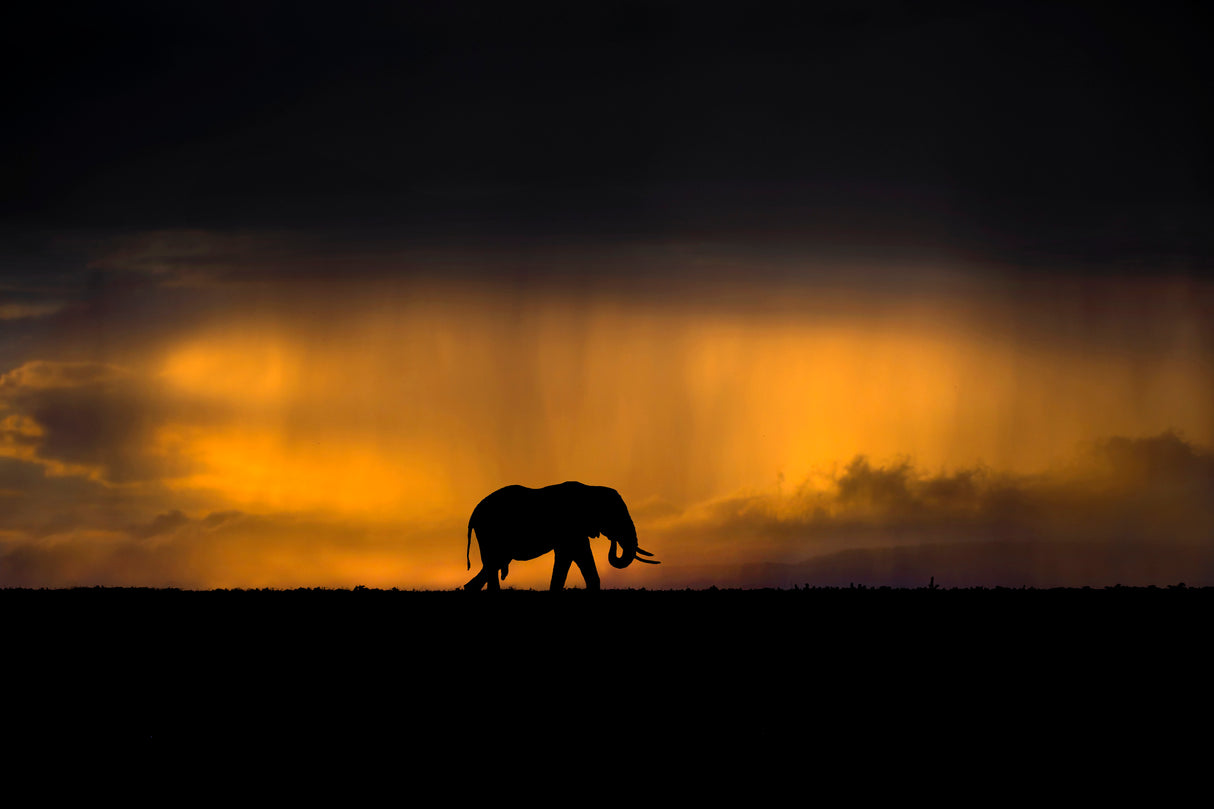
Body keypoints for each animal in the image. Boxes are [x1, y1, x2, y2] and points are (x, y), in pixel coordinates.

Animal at [465, 481, 659, 591]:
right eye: (615, 515)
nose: (614, 540)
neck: (591, 489)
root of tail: (473, 514)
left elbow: (577, 556)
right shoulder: (570, 527)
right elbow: (569, 556)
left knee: (492, 565)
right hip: (490, 532)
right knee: (493, 564)